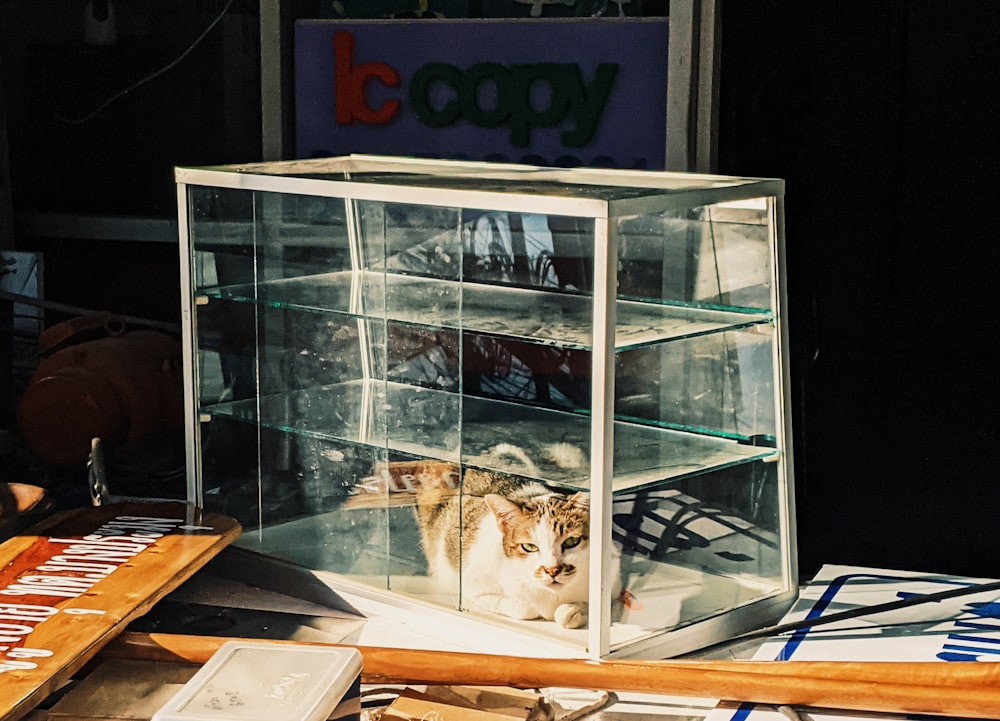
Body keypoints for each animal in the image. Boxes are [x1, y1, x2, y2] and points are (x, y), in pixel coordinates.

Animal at [414, 464, 616, 628]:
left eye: (571, 542)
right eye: (530, 547)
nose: (552, 570)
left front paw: (573, 611)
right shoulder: (470, 584)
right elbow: (524, 608)